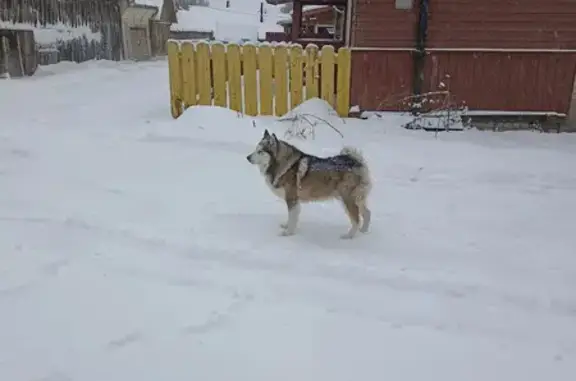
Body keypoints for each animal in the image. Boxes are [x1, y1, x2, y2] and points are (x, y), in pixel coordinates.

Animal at [244, 129, 372, 239]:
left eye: (260, 151)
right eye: (256, 149)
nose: (247, 157)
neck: (282, 164)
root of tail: (355, 161)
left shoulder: (291, 199)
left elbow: (292, 218)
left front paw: (288, 233)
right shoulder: (294, 201)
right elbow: (292, 218)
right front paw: (287, 227)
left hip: (347, 199)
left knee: (356, 219)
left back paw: (349, 236)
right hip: (357, 199)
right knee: (367, 213)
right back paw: (363, 231)